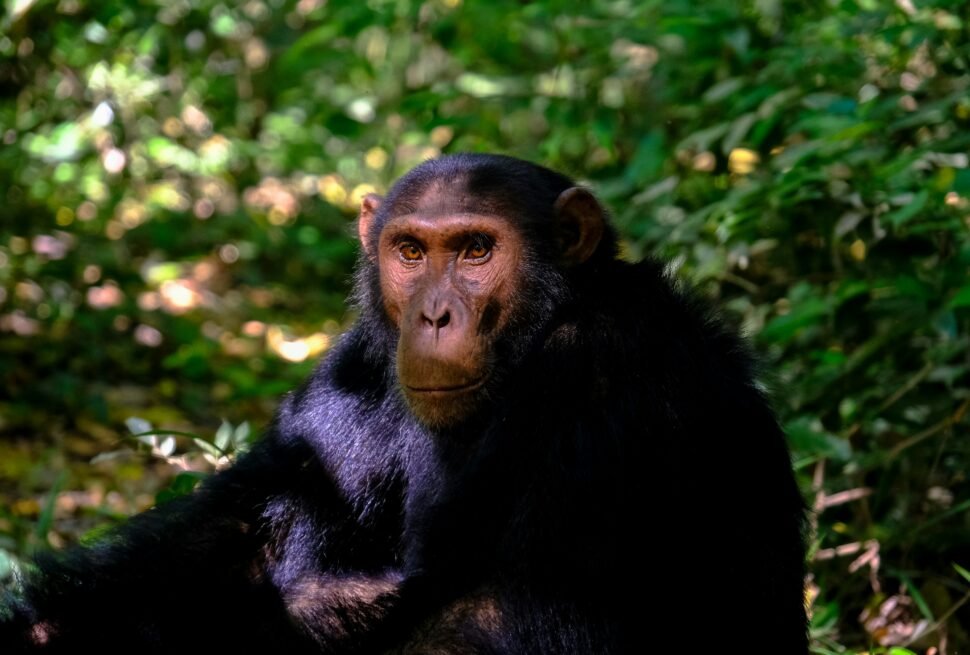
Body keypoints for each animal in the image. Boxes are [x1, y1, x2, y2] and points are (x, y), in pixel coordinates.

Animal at [0, 155, 804, 655]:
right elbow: (232, 538)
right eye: (411, 252)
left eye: (477, 250)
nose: (435, 315)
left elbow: (497, 611)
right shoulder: (356, 366)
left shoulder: (602, 368)